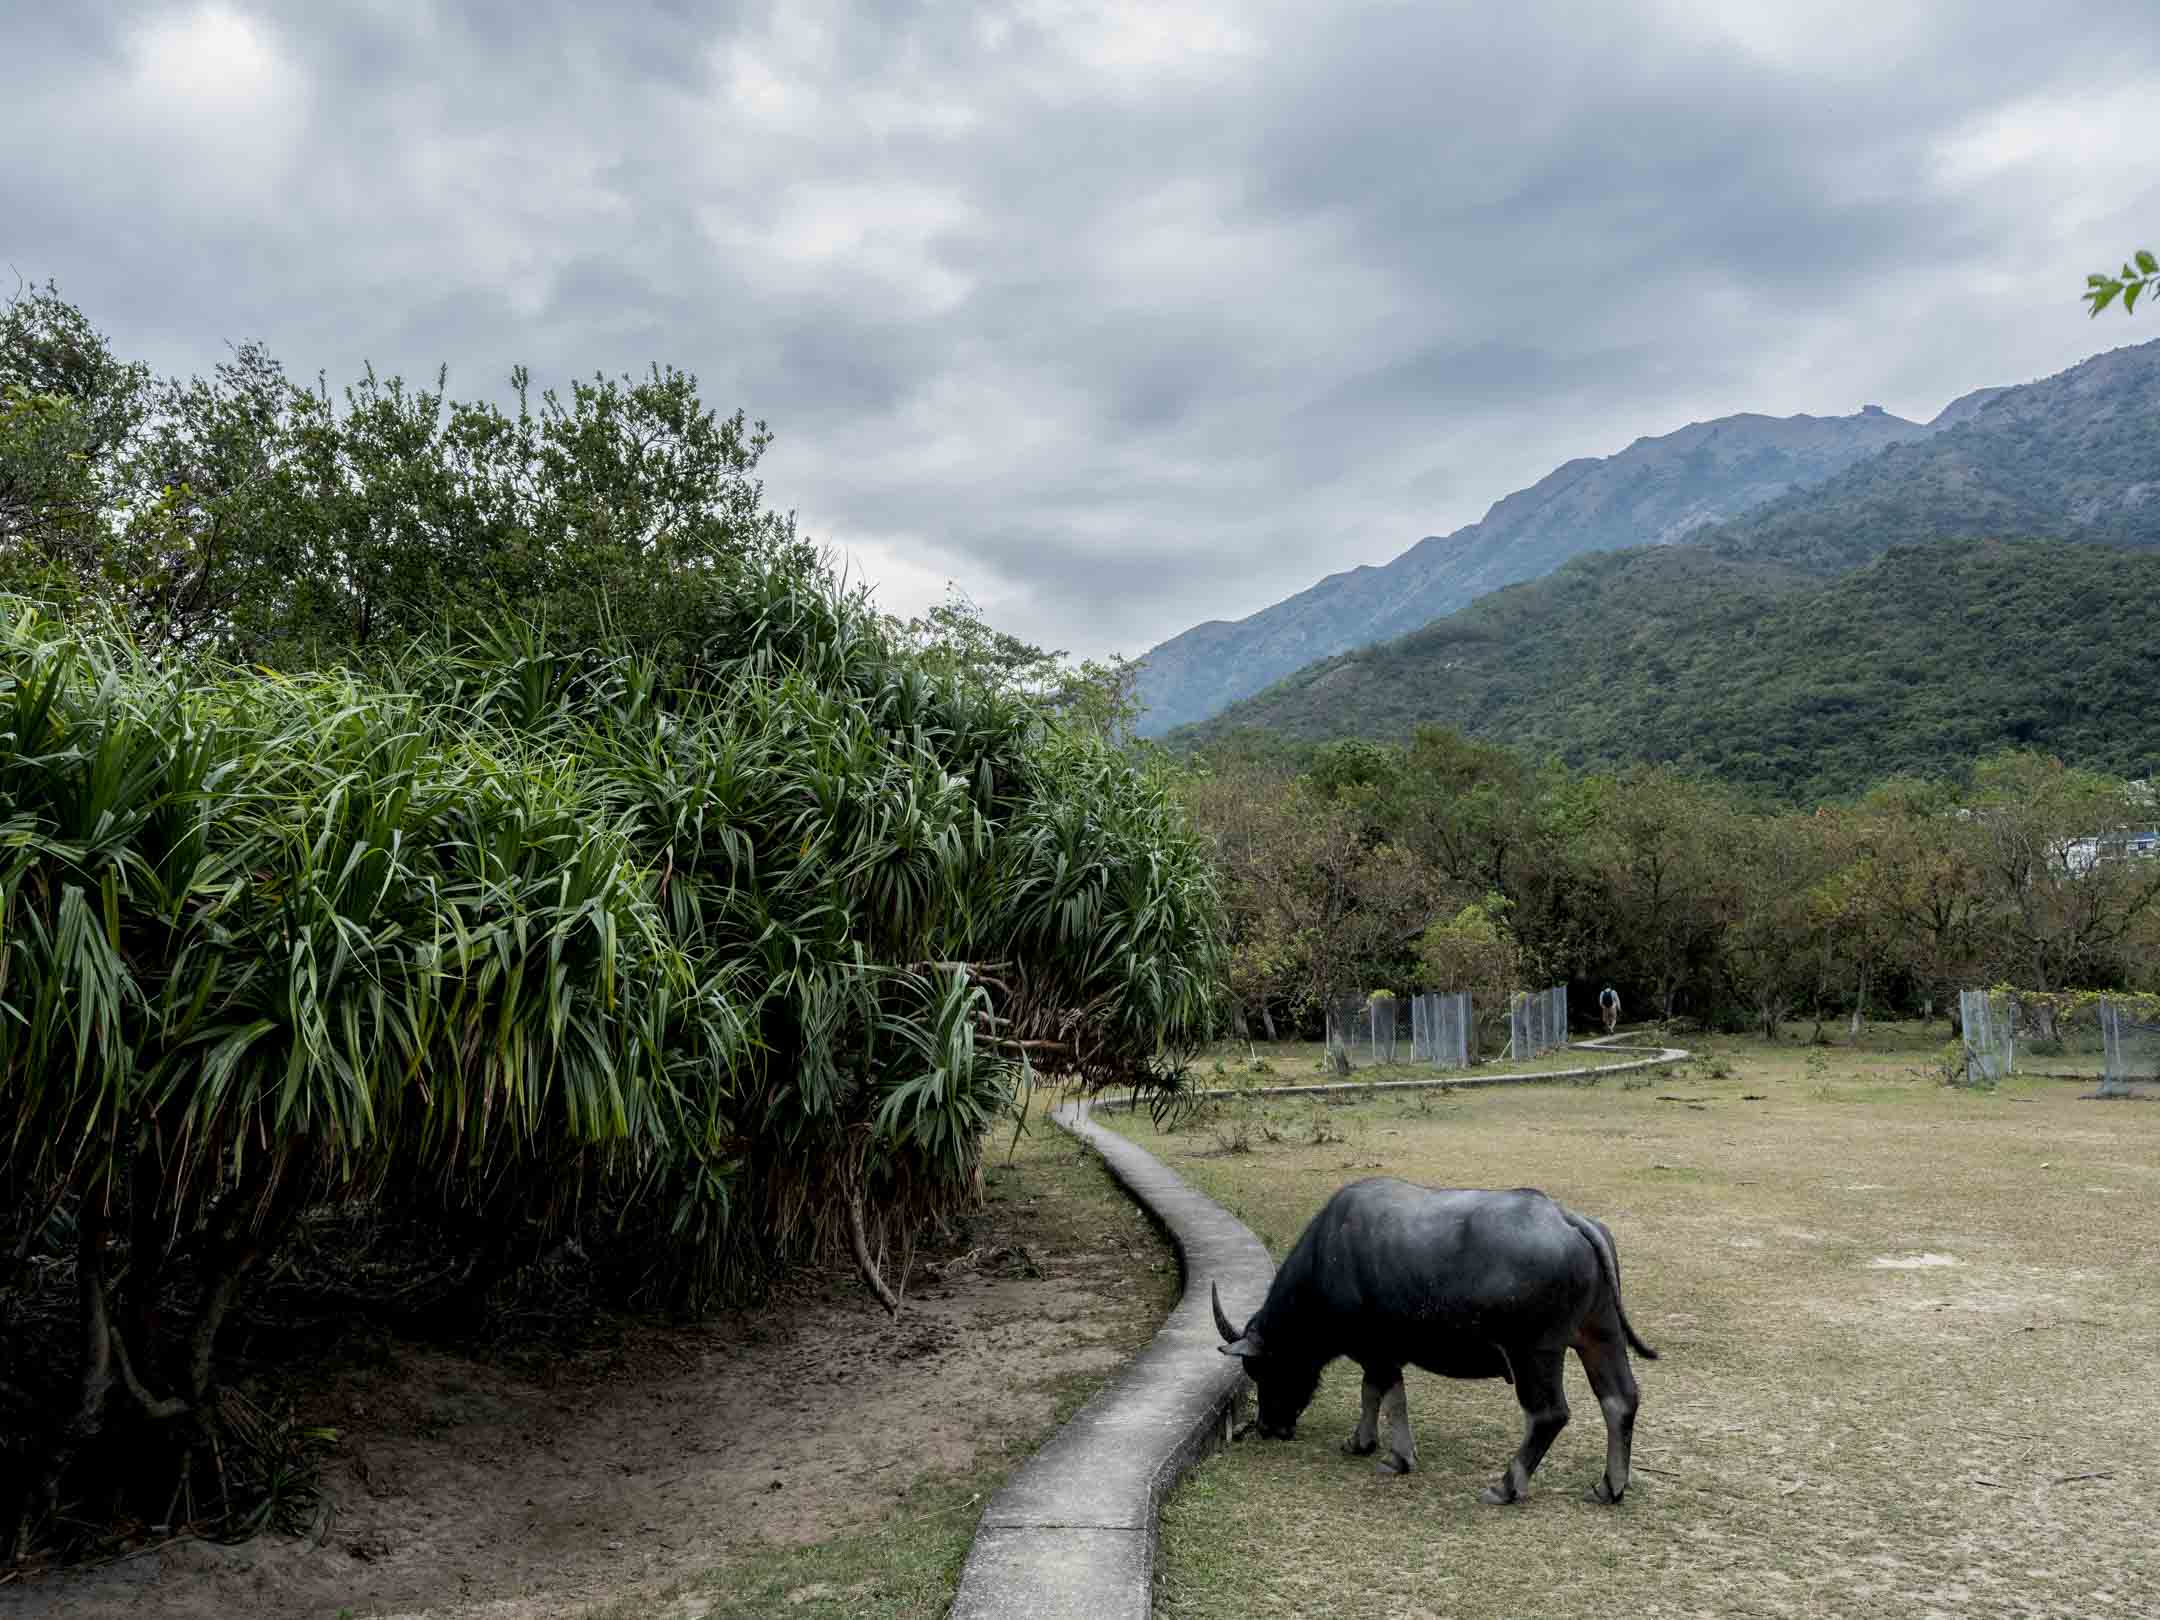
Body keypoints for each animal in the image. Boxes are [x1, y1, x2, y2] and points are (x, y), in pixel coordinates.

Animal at [1218, 1183, 1650, 1512]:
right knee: (1620, 1400)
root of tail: (1567, 1219)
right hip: (1601, 1334)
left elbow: (1382, 1396)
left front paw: (1386, 1453)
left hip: (1534, 1351)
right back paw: (1610, 1486)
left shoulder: (1377, 1352)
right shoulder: (1384, 1355)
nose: (1268, 1427)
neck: (1327, 1259)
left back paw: (1507, 1486)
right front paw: (1370, 1445)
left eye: (1263, 1369)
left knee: (1548, 1414)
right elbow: (1381, 1395)